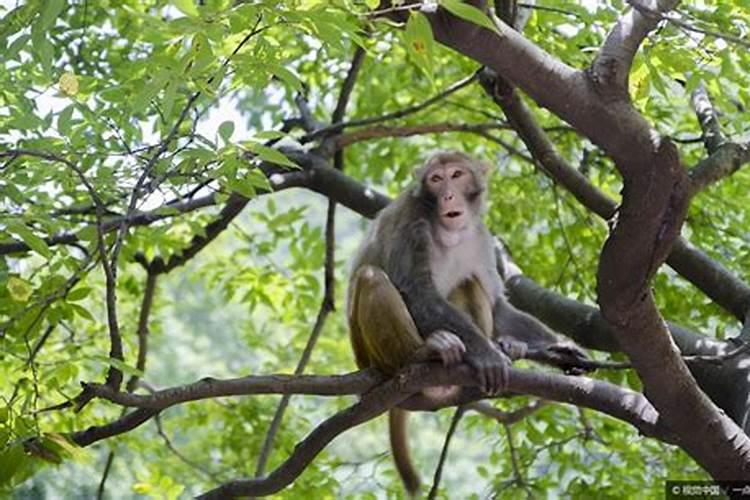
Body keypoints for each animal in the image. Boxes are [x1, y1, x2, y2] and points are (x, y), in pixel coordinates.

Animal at [348, 150, 592, 494]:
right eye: (436, 179)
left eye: (457, 174)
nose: (448, 194)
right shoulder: (410, 223)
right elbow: (417, 290)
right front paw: (487, 355)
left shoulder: (481, 237)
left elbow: (497, 304)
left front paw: (560, 349)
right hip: (368, 356)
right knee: (371, 276)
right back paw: (423, 354)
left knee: (470, 282)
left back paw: (497, 350)